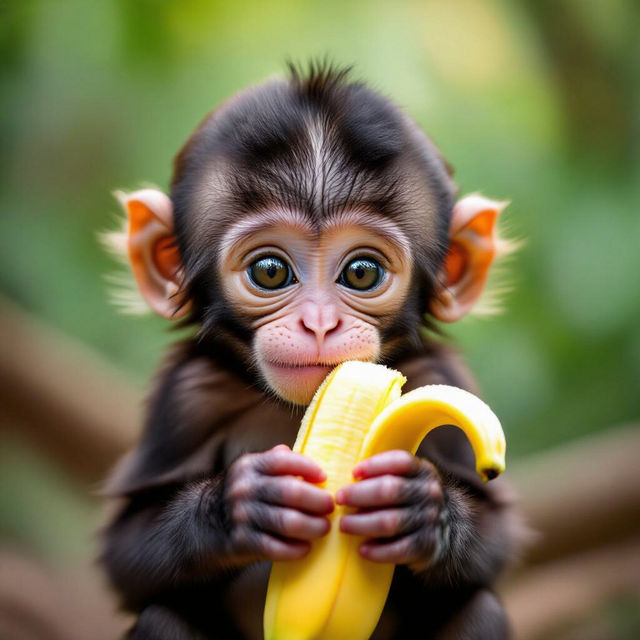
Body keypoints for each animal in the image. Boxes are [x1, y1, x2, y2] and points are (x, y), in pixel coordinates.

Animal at [100, 63, 520, 639]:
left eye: (361, 272)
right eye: (270, 271)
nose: (319, 323)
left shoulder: (440, 371)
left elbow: (496, 538)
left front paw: (421, 510)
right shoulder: (185, 398)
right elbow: (127, 555)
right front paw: (239, 508)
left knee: (481, 609)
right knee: (163, 616)